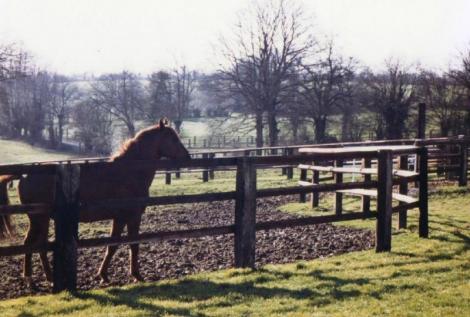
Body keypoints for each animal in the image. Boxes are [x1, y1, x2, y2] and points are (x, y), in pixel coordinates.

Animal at [0, 118, 191, 284]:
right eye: (173, 138)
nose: (187, 157)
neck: (129, 171)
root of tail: (25, 175)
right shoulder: (130, 216)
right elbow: (130, 244)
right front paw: (136, 275)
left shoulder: (119, 218)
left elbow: (113, 245)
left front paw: (103, 275)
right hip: (41, 218)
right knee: (37, 245)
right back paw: (43, 277)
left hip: (38, 219)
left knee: (32, 244)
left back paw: (33, 276)